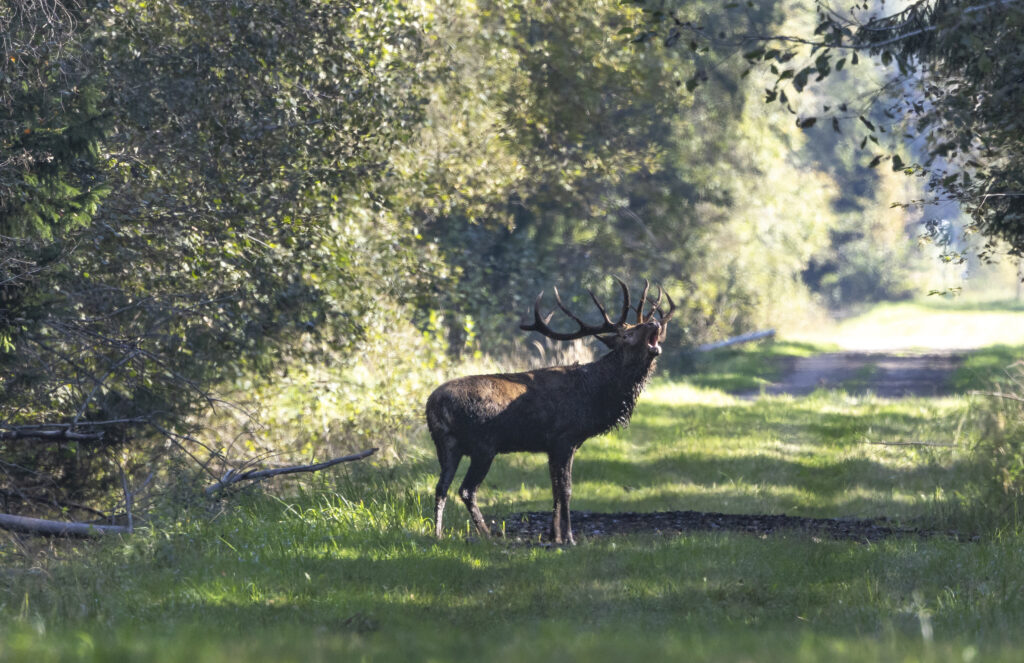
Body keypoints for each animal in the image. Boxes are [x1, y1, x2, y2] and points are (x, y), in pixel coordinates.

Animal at [423, 278, 671, 545]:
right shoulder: (565, 438)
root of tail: (433, 404)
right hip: (483, 445)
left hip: (447, 445)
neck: (595, 395)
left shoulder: (552, 446)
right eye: (627, 334)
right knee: (466, 489)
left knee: (441, 487)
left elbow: (554, 488)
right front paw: (569, 538)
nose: (654, 322)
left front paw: (554, 535)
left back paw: (437, 533)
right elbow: (566, 489)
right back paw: (488, 534)